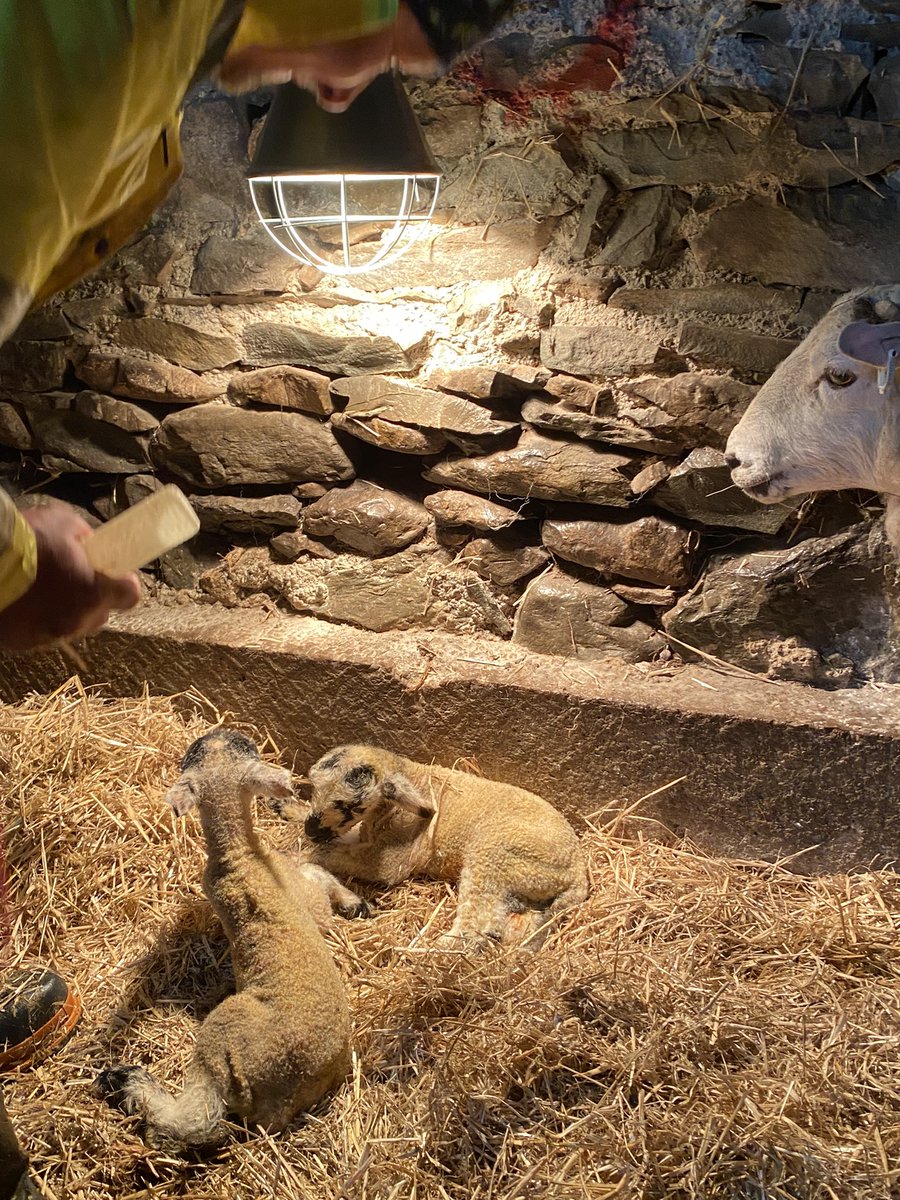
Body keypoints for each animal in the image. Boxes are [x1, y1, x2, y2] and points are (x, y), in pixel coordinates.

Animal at [97, 728, 363, 1151]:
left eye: (197, 750)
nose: (226, 731)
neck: (241, 853)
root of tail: (282, 1102)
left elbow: (316, 874)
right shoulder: (307, 901)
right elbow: (318, 884)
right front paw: (354, 903)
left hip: (222, 1035)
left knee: (198, 1118)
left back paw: (125, 1081)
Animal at [299, 744, 589, 951]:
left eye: (348, 806)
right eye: (314, 788)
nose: (310, 830)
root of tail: (578, 873)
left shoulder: (395, 857)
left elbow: (336, 855)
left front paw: (302, 856)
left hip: (496, 854)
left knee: (478, 920)